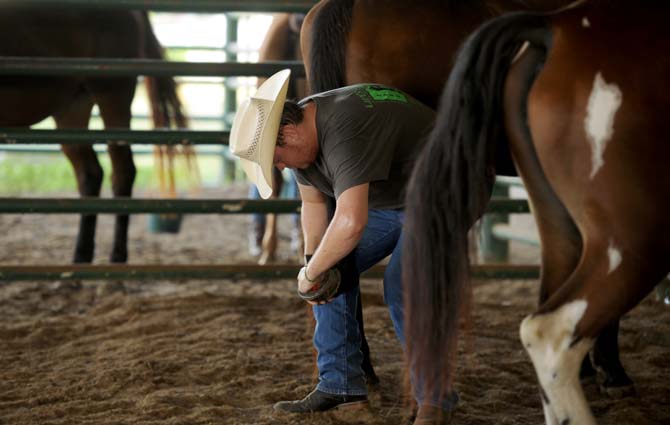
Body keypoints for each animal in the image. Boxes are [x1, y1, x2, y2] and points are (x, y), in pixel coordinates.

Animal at [0, 7, 186, 262]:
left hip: (113, 96)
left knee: (122, 172)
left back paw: (117, 257)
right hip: (72, 108)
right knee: (90, 174)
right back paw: (81, 257)